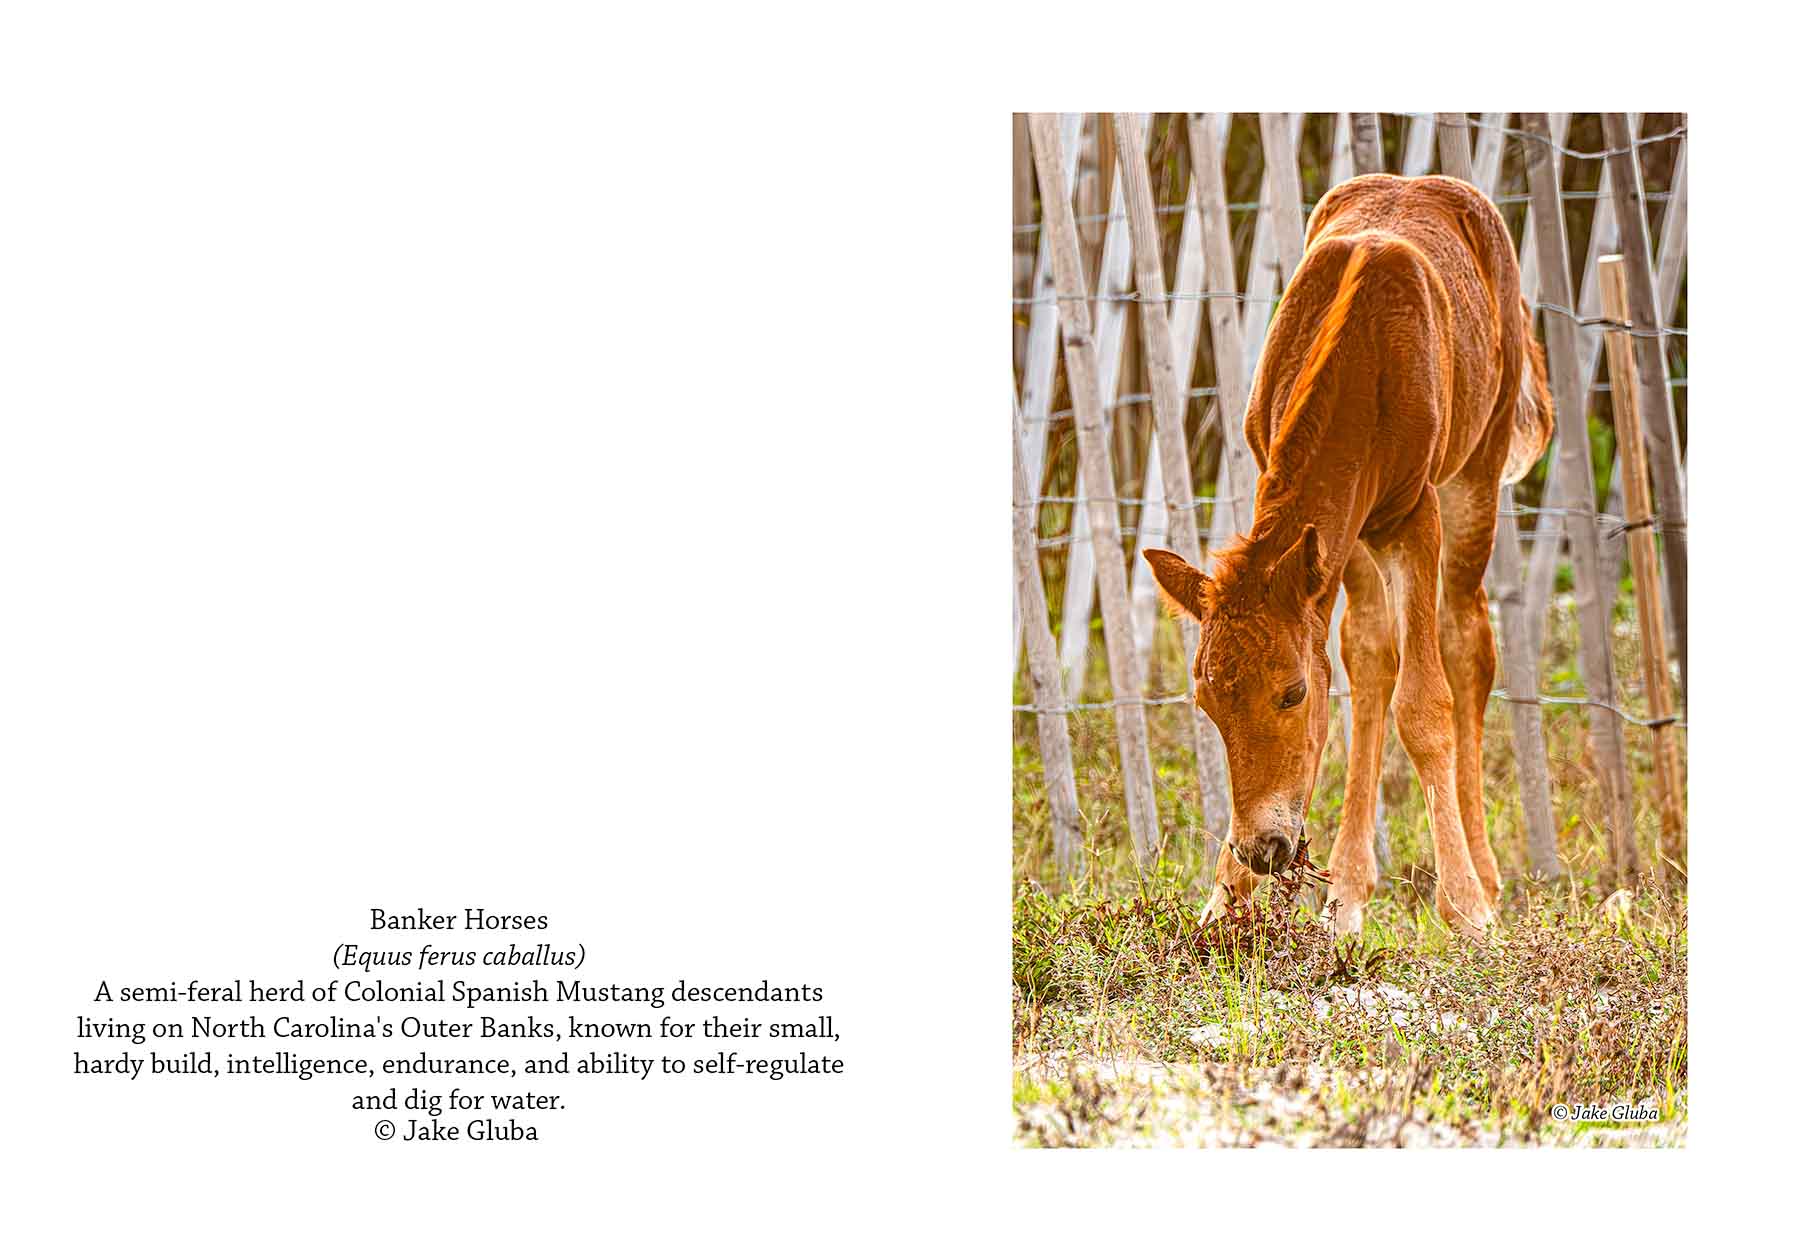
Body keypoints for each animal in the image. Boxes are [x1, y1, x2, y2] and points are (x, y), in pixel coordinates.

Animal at [1144, 173, 1553, 937]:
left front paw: (1467, 909)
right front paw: (1222, 902)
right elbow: (1363, 667)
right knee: (1370, 655)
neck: (1362, 357)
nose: (1264, 848)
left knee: (1467, 641)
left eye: (1292, 693)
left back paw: (1483, 874)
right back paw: (1351, 892)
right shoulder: (1333, 529)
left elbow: (1425, 704)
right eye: (1206, 703)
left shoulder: (1412, 514)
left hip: (1476, 473)